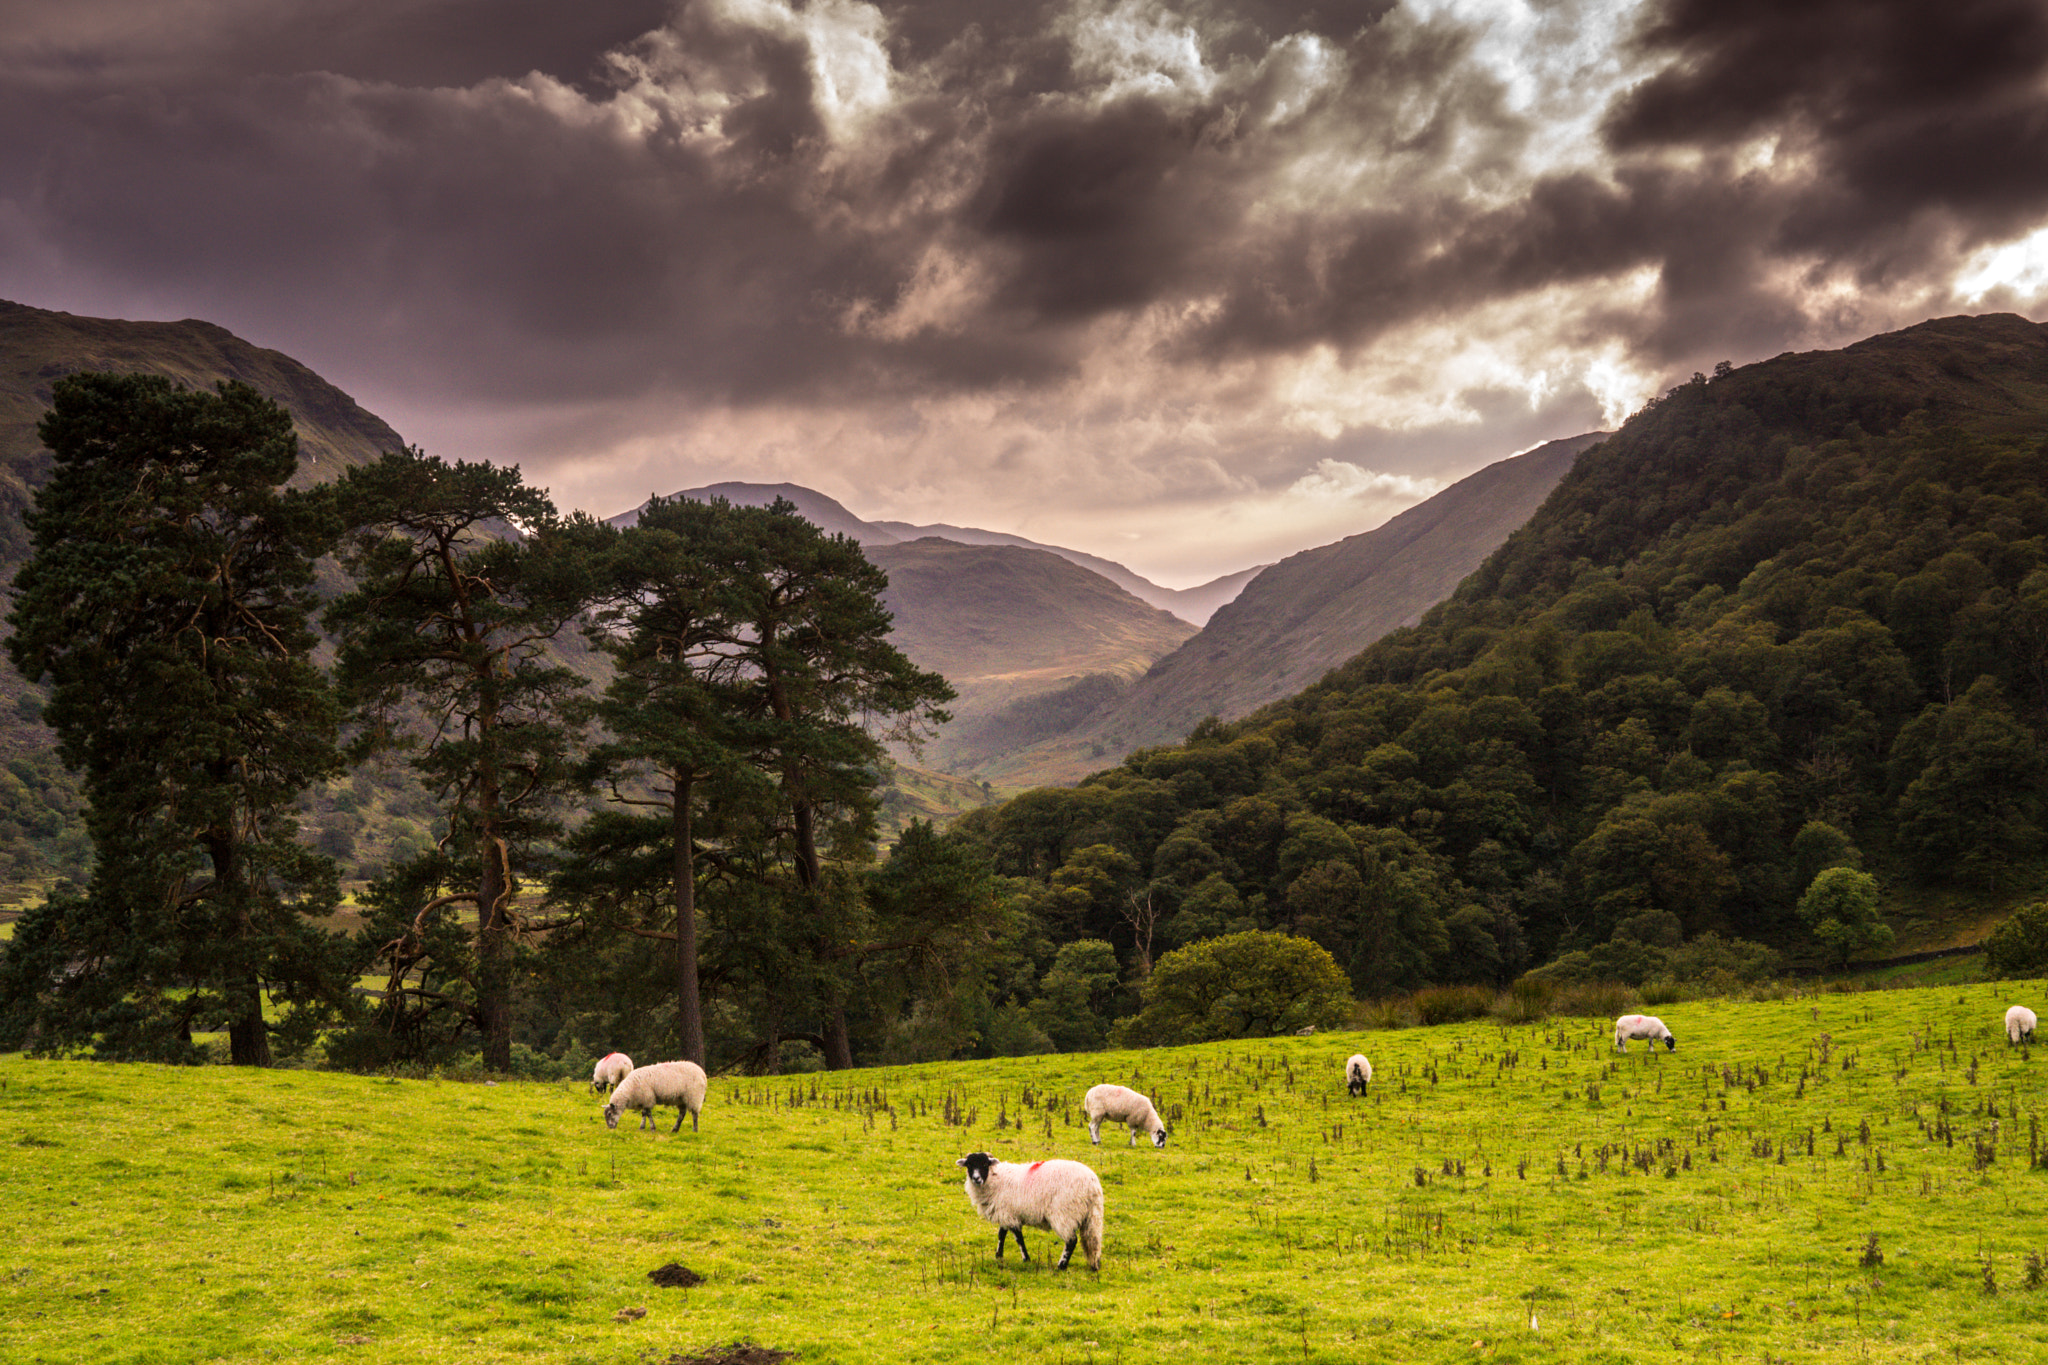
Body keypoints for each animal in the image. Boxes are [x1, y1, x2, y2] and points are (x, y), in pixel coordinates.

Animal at [954, 1162, 1105, 1277]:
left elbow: (1018, 1238)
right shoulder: (1006, 1213)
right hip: (1093, 1215)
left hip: (1065, 1213)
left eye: (984, 1164)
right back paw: (1094, 1265)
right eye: (970, 1164)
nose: (976, 1179)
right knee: (1093, 1240)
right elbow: (1001, 1234)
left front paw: (1026, 1259)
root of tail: (1092, 1184)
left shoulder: (1009, 1215)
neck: (995, 1180)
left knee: (1071, 1241)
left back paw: (1061, 1266)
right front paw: (999, 1256)